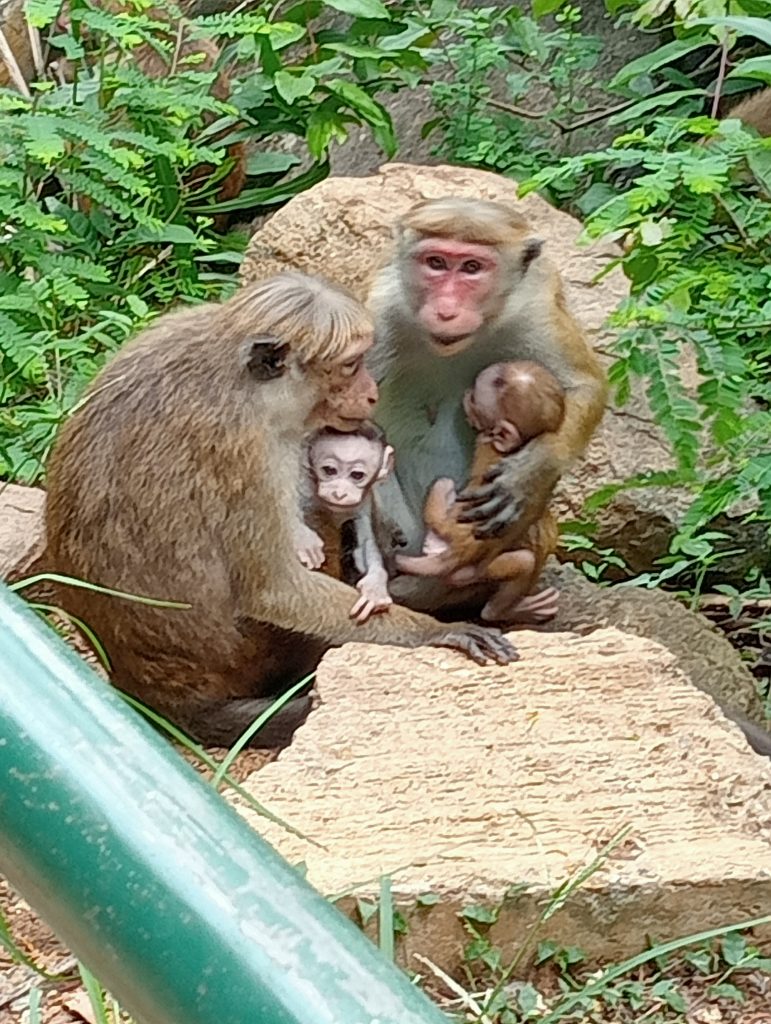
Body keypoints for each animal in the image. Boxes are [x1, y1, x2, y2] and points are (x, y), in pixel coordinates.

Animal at [299, 422, 396, 623]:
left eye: (357, 475)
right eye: (329, 470)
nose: (339, 493)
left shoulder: (365, 500)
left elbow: (365, 543)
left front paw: (375, 587)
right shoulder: (304, 482)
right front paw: (304, 540)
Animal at [395, 361, 565, 624]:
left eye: (475, 398)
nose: (467, 394)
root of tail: (452, 555)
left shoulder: (486, 437)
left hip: (472, 563)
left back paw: (500, 611)